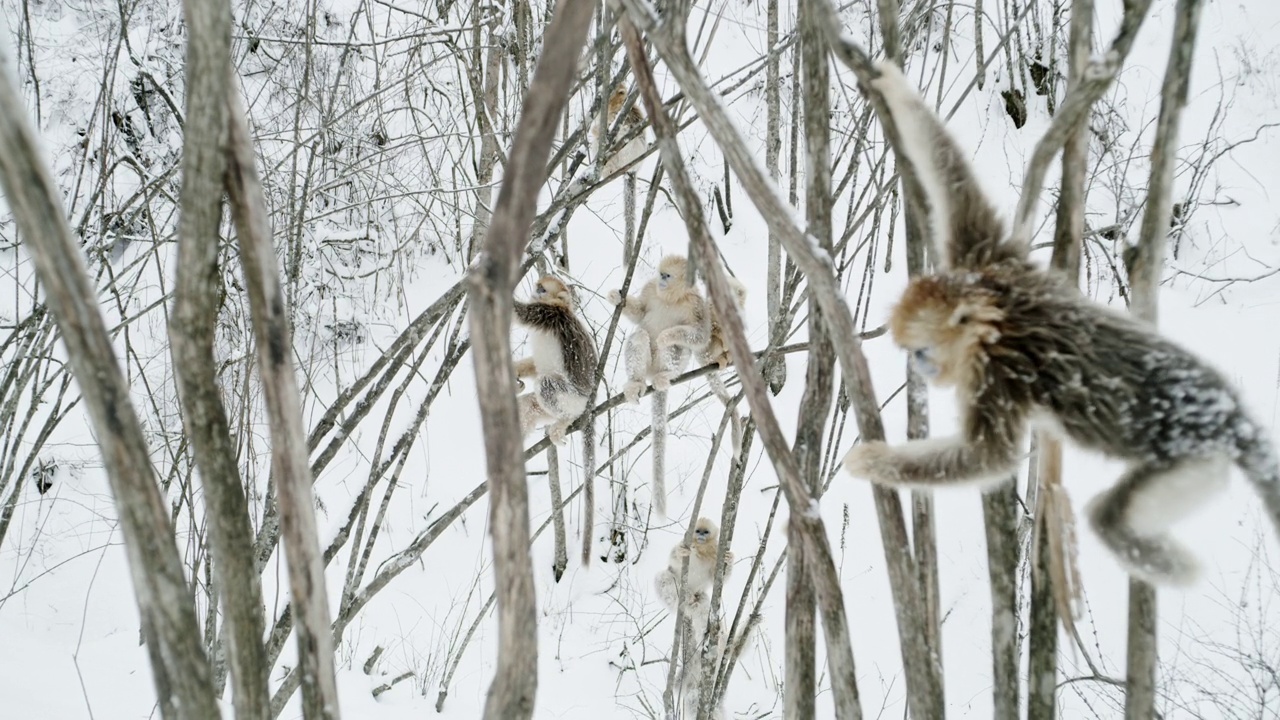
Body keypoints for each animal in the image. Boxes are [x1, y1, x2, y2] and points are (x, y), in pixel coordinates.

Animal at [512, 274, 596, 443]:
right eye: (538, 286)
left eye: (543, 289)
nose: (535, 292)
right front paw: (514, 370)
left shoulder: (547, 314)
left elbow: (517, 313)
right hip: (544, 409)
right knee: (527, 406)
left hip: (573, 402)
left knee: (546, 384)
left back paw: (565, 421)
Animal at [839, 61, 1280, 586]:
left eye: (924, 351)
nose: (923, 369)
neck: (997, 313)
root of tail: (1232, 414)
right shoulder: (990, 260)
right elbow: (955, 183)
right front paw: (894, 86)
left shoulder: (995, 375)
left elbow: (988, 456)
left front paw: (872, 460)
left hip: (1194, 458)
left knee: (1110, 519)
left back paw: (1176, 572)